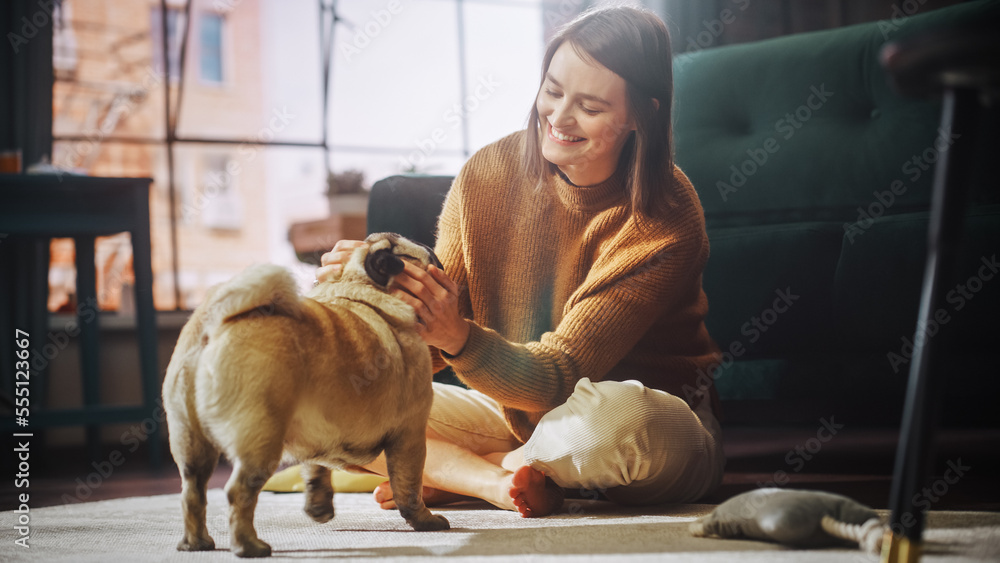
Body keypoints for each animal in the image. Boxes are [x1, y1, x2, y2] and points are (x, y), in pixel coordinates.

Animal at [163, 231, 450, 556]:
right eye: (423, 253)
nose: (433, 250)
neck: (359, 288)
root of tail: (215, 324)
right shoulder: (410, 434)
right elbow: (409, 487)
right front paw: (425, 521)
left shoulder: (319, 428)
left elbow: (316, 469)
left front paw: (319, 507)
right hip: (261, 437)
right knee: (239, 492)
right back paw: (249, 546)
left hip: (190, 440)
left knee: (193, 492)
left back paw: (196, 543)